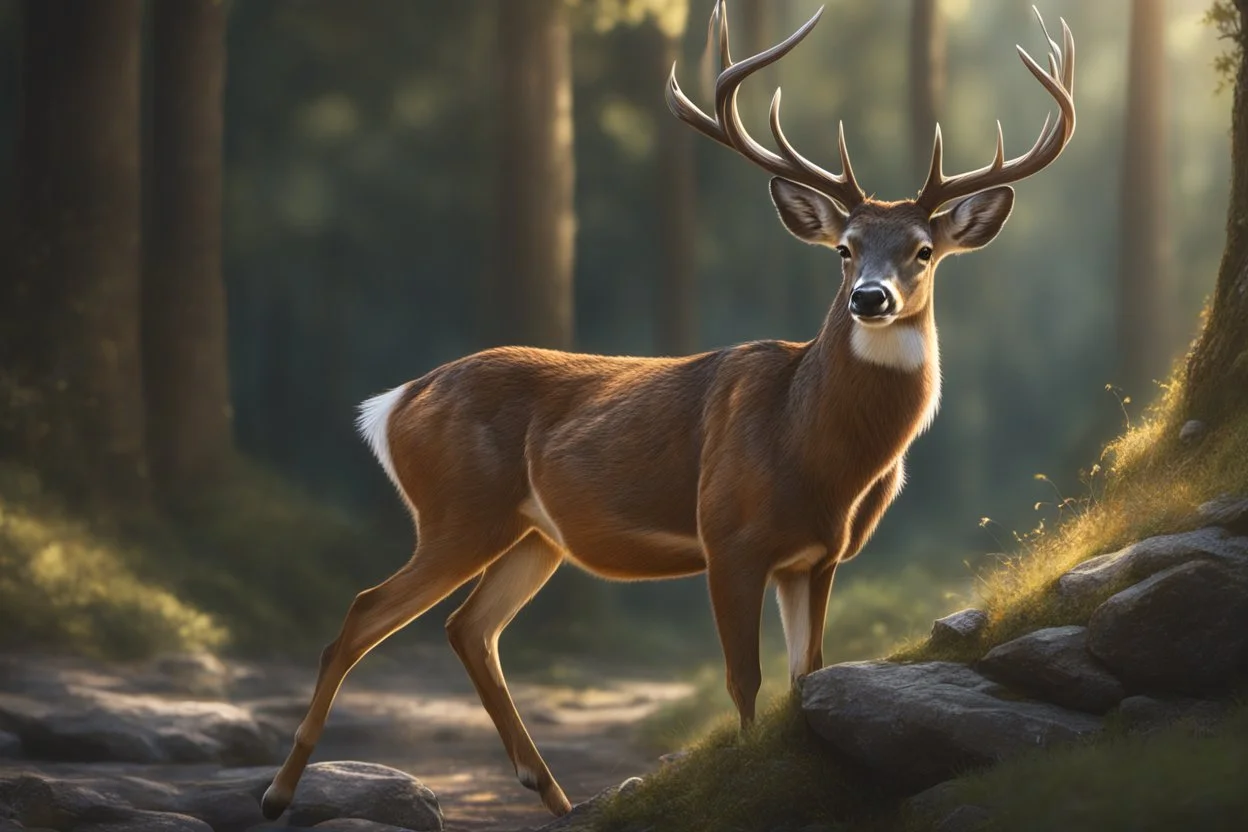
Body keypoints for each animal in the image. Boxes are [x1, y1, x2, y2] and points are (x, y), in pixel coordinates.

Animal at [262, 2, 1075, 820]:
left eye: (922, 251)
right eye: (844, 249)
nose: (868, 298)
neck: (813, 447)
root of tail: (393, 403)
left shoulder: (817, 556)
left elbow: (807, 675)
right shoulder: (729, 535)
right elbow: (744, 681)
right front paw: (739, 792)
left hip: (533, 534)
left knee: (469, 628)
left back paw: (554, 795)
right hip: (459, 510)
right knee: (363, 613)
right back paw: (278, 792)